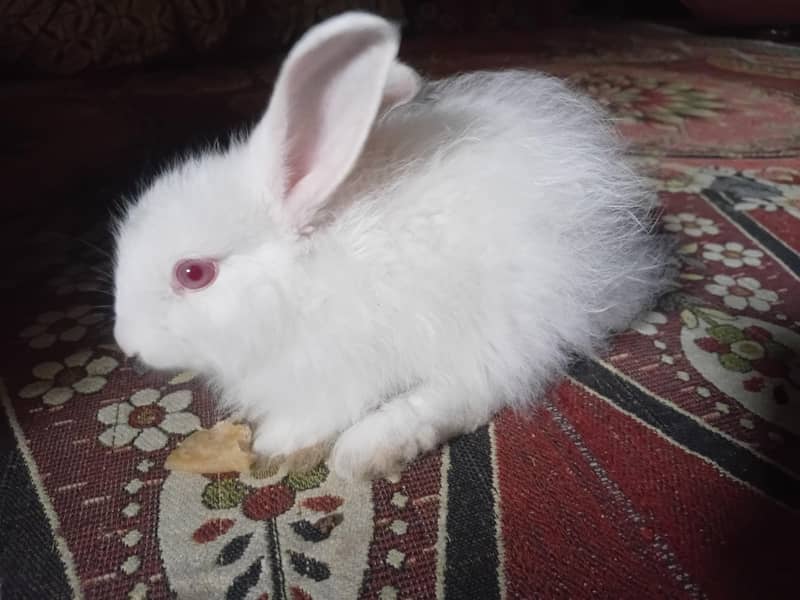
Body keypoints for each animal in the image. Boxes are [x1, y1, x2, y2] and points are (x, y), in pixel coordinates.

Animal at [112, 11, 670, 480]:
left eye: (193, 273)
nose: (126, 342)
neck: (302, 281)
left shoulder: (337, 369)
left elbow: (319, 410)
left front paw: (276, 442)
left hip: (507, 317)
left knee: (471, 388)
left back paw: (368, 450)